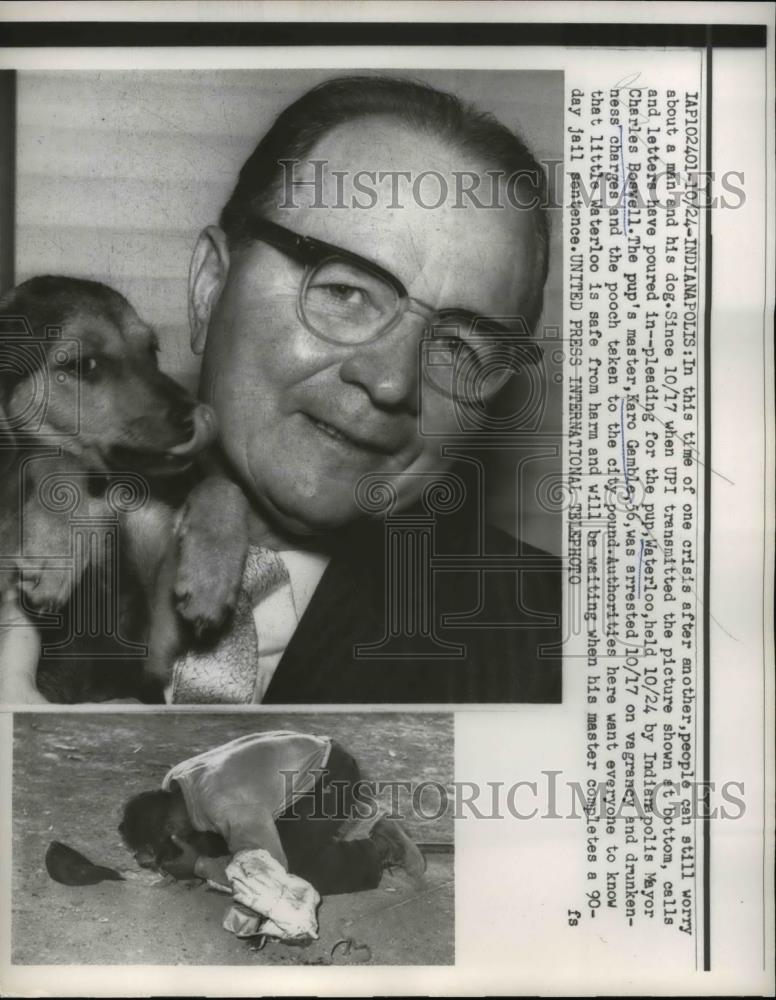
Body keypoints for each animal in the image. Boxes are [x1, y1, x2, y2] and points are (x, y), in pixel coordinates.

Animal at [0, 270, 247, 700]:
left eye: (151, 350)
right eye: (85, 364)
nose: (197, 416)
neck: (110, 488)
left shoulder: (157, 638)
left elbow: (222, 484)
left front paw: (212, 575)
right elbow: (56, 457)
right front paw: (55, 548)